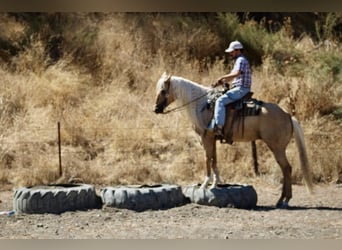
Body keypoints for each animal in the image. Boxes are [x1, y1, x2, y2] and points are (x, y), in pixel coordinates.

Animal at [154, 72, 314, 207]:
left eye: (162, 91)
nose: (156, 109)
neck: (201, 105)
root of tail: (287, 115)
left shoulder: (206, 138)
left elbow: (207, 159)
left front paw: (205, 184)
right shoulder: (213, 139)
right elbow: (214, 160)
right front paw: (215, 183)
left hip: (277, 147)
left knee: (286, 168)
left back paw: (284, 200)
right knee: (286, 169)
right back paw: (282, 200)